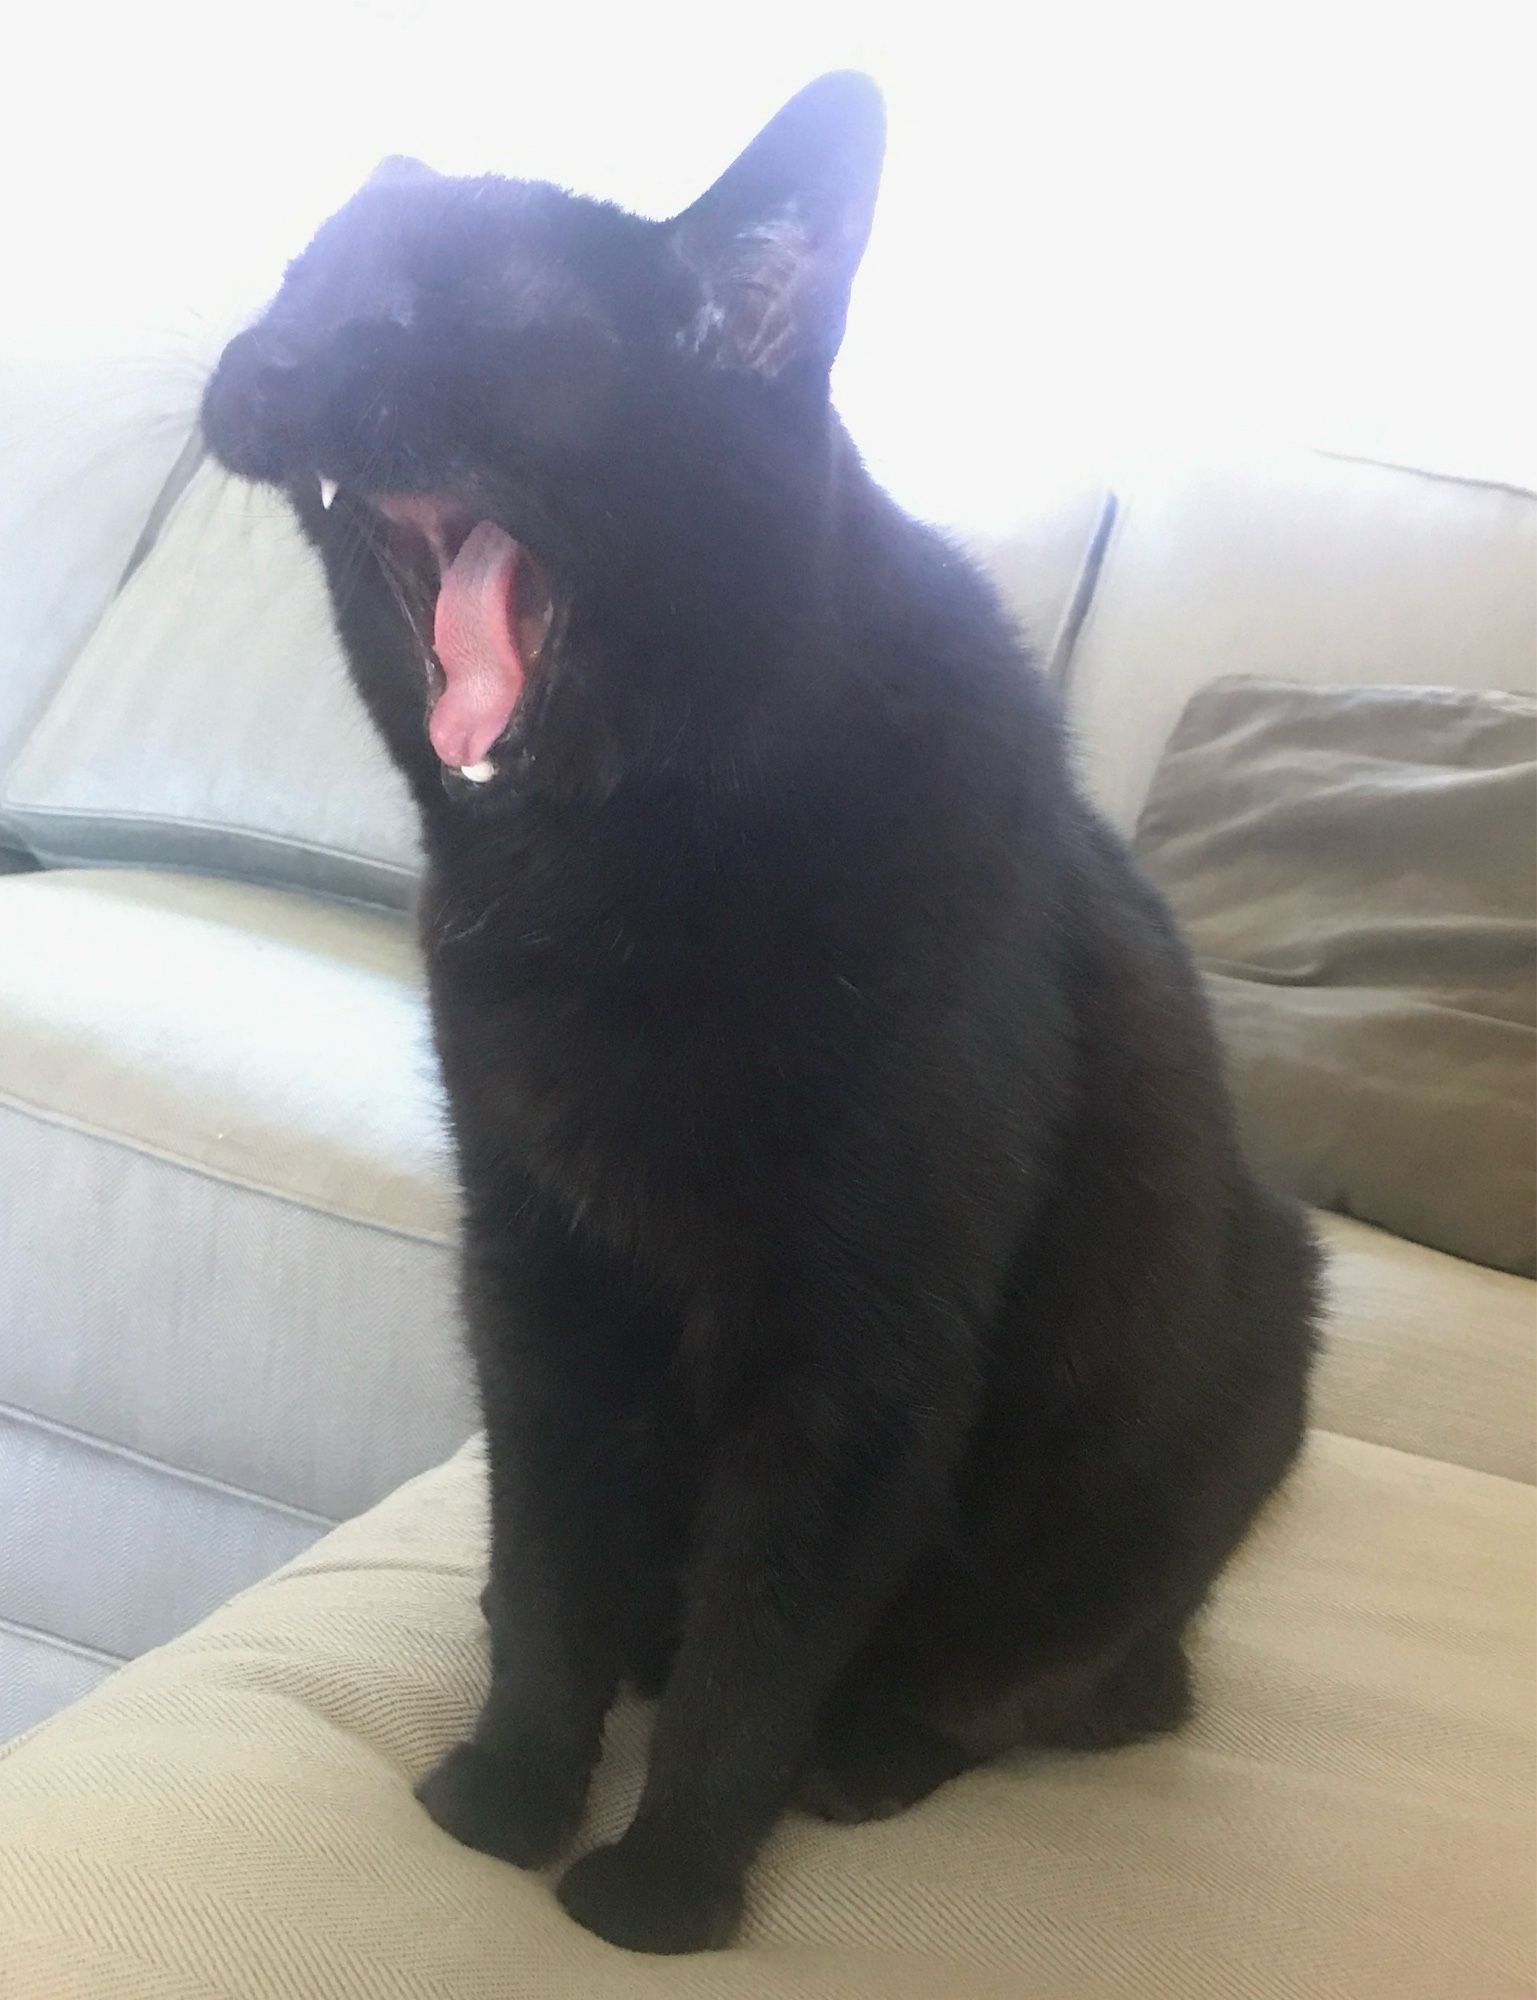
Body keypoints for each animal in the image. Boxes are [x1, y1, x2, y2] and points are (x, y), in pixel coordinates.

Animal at [198, 70, 1312, 1944]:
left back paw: (867, 1755)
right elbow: (548, 1563)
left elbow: (760, 1643)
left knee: (1052, 1692)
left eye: (446, 309)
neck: (599, 880)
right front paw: (509, 1789)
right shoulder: (536, 1269)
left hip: (1198, 1427)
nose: (261, 353)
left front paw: (663, 1889)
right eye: (297, 276)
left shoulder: (856, 1356)